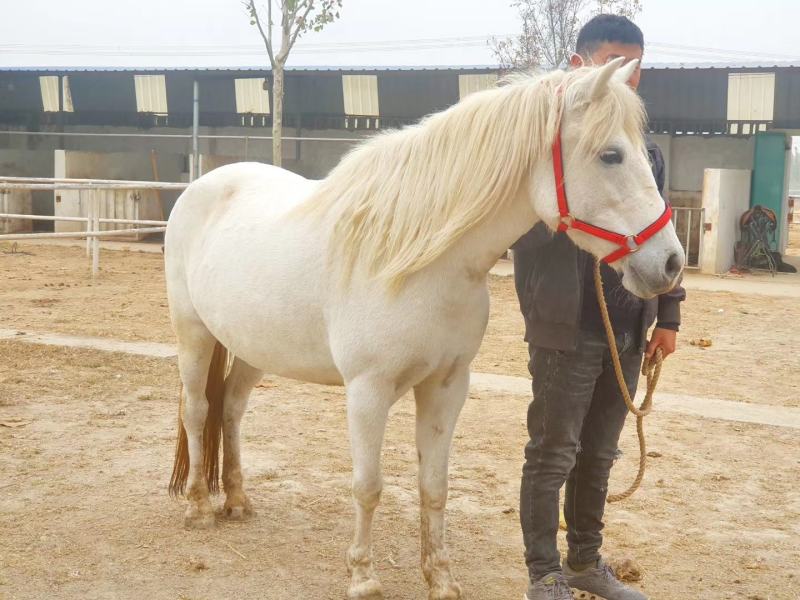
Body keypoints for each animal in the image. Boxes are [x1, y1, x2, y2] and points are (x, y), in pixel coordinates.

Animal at [164, 57, 684, 600]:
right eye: (611, 155)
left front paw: (440, 578)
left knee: (231, 409)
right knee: (198, 410)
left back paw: (236, 500)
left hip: (251, 348)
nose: (670, 263)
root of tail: (205, 184)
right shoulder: (367, 391)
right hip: (193, 334)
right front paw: (362, 577)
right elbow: (368, 486)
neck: (418, 259)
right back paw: (199, 507)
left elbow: (434, 486)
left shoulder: (446, 387)